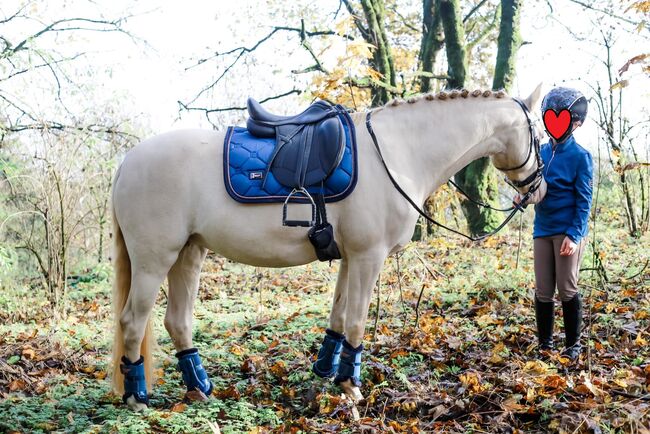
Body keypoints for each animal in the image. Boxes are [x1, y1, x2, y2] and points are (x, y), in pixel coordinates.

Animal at [110, 84, 540, 410]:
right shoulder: (369, 256)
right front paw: (351, 387)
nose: (538, 189)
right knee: (133, 321)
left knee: (177, 321)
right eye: (538, 132)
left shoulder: (350, 257)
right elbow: (356, 321)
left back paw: (199, 389)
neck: (397, 152)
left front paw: (325, 375)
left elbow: (337, 318)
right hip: (154, 260)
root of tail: (127, 161)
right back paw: (137, 399)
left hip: (189, 254)